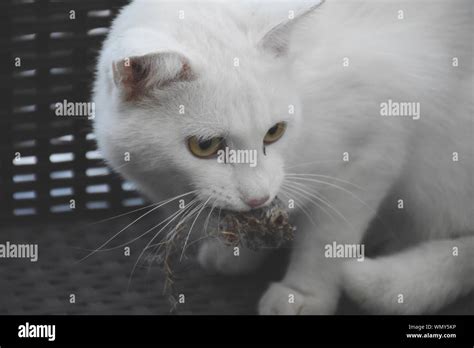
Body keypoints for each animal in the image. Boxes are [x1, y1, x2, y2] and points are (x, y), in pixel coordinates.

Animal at [93, 0, 474, 316]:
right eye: (205, 146)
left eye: (274, 132)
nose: (257, 195)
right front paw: (239, 252)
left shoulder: (375, 147)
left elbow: (326, 239)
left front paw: (303, 293)